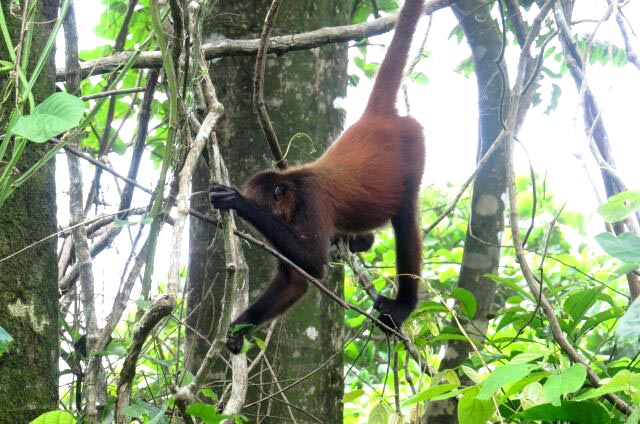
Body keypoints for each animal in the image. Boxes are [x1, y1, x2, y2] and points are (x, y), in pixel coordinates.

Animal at [210, 0, 425, 354]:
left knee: (405, 215)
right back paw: (361, 240)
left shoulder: (310, 201)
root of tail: (374, 119)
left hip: (413, 148)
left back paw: (402, 306)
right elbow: (295, 280)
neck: (294, 185)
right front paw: (239, 328)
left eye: (264, 206)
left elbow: (312, 264)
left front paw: (239, 203)